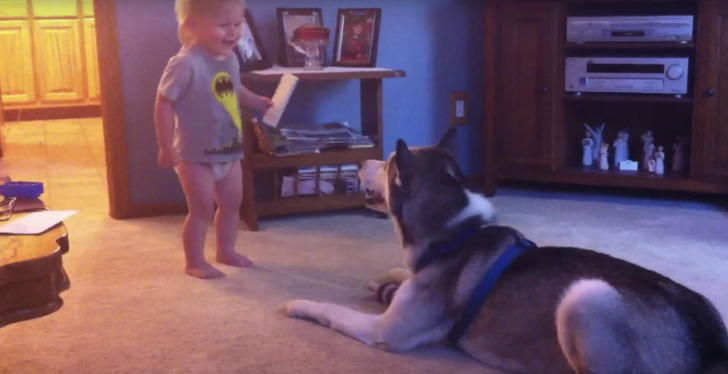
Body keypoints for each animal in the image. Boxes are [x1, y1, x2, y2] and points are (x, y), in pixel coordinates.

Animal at [286, 129, 728, 374]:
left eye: (389, 164)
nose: (361, 162)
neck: (456, 233)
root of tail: (712, 342)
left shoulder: (386, 332)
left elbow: (332, 311)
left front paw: (300, 304)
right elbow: (400, 272)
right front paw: (391, 277)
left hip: (587, 296)